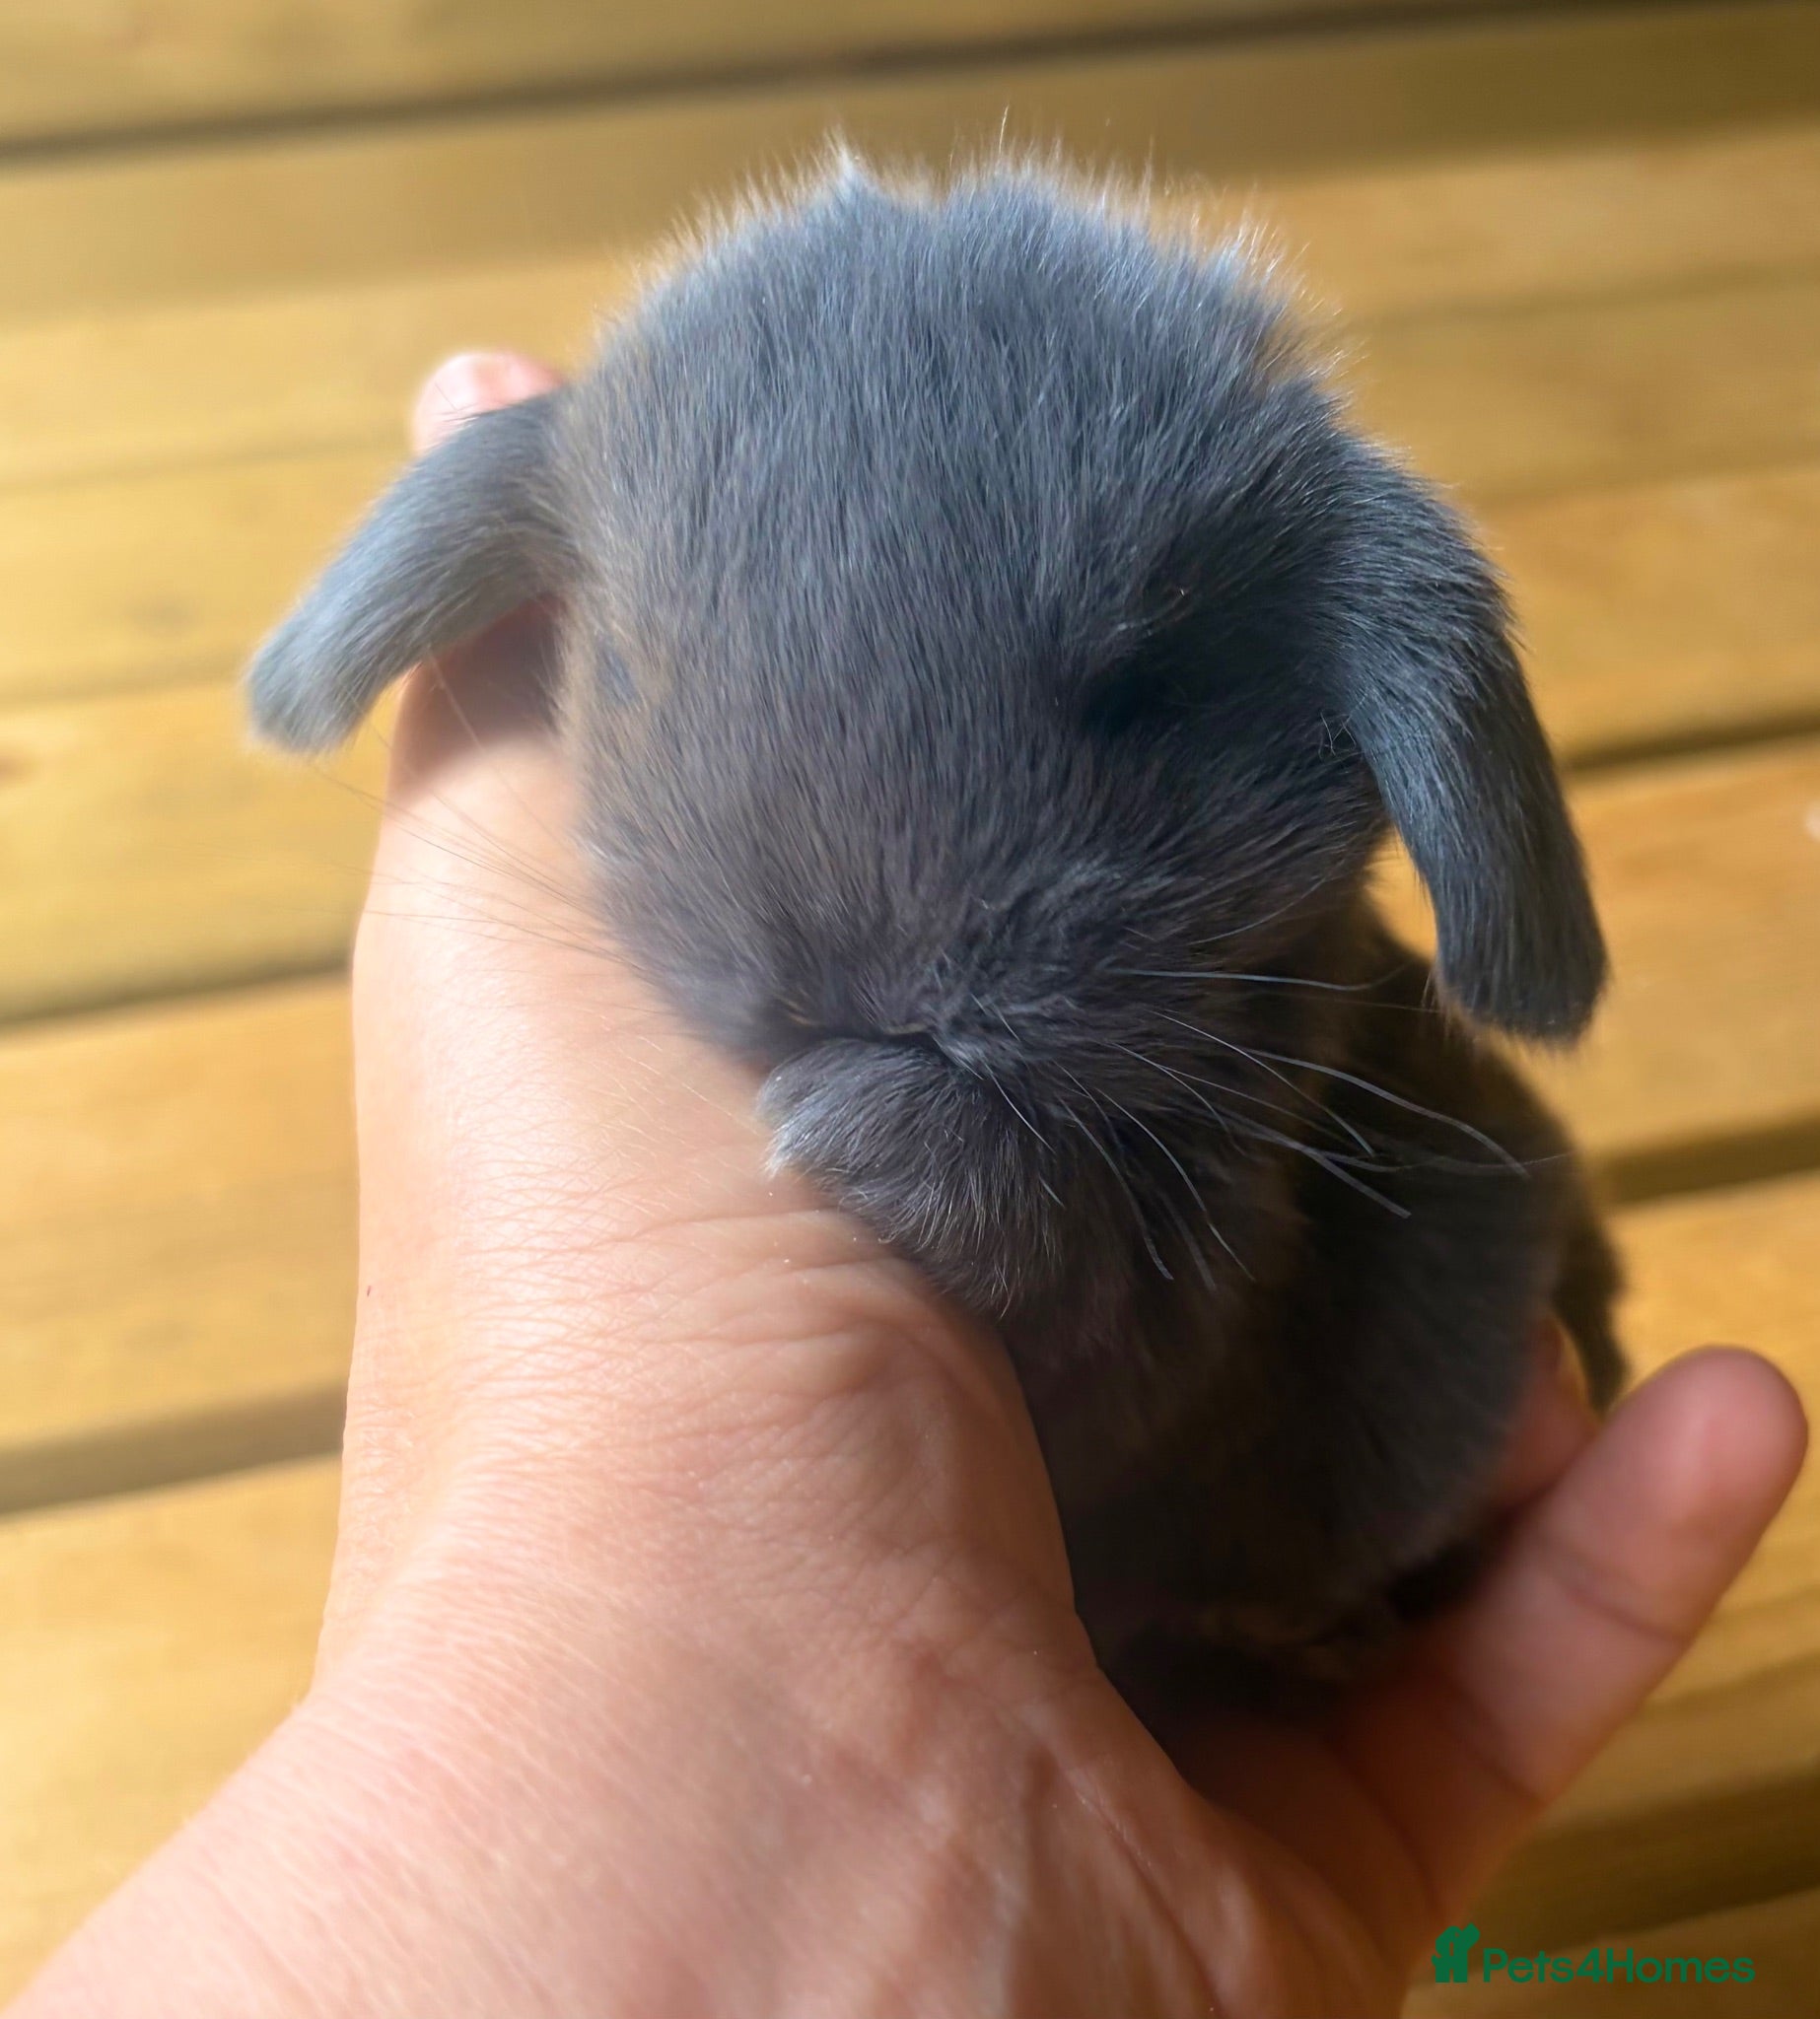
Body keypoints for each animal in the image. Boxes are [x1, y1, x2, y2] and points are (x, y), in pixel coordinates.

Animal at [248, 155, 1623, 1705]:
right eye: (632, 671)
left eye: (1143, 684)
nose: (852, 999)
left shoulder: (1194, 1299)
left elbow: (1075, 1279)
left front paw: (851, 1131)